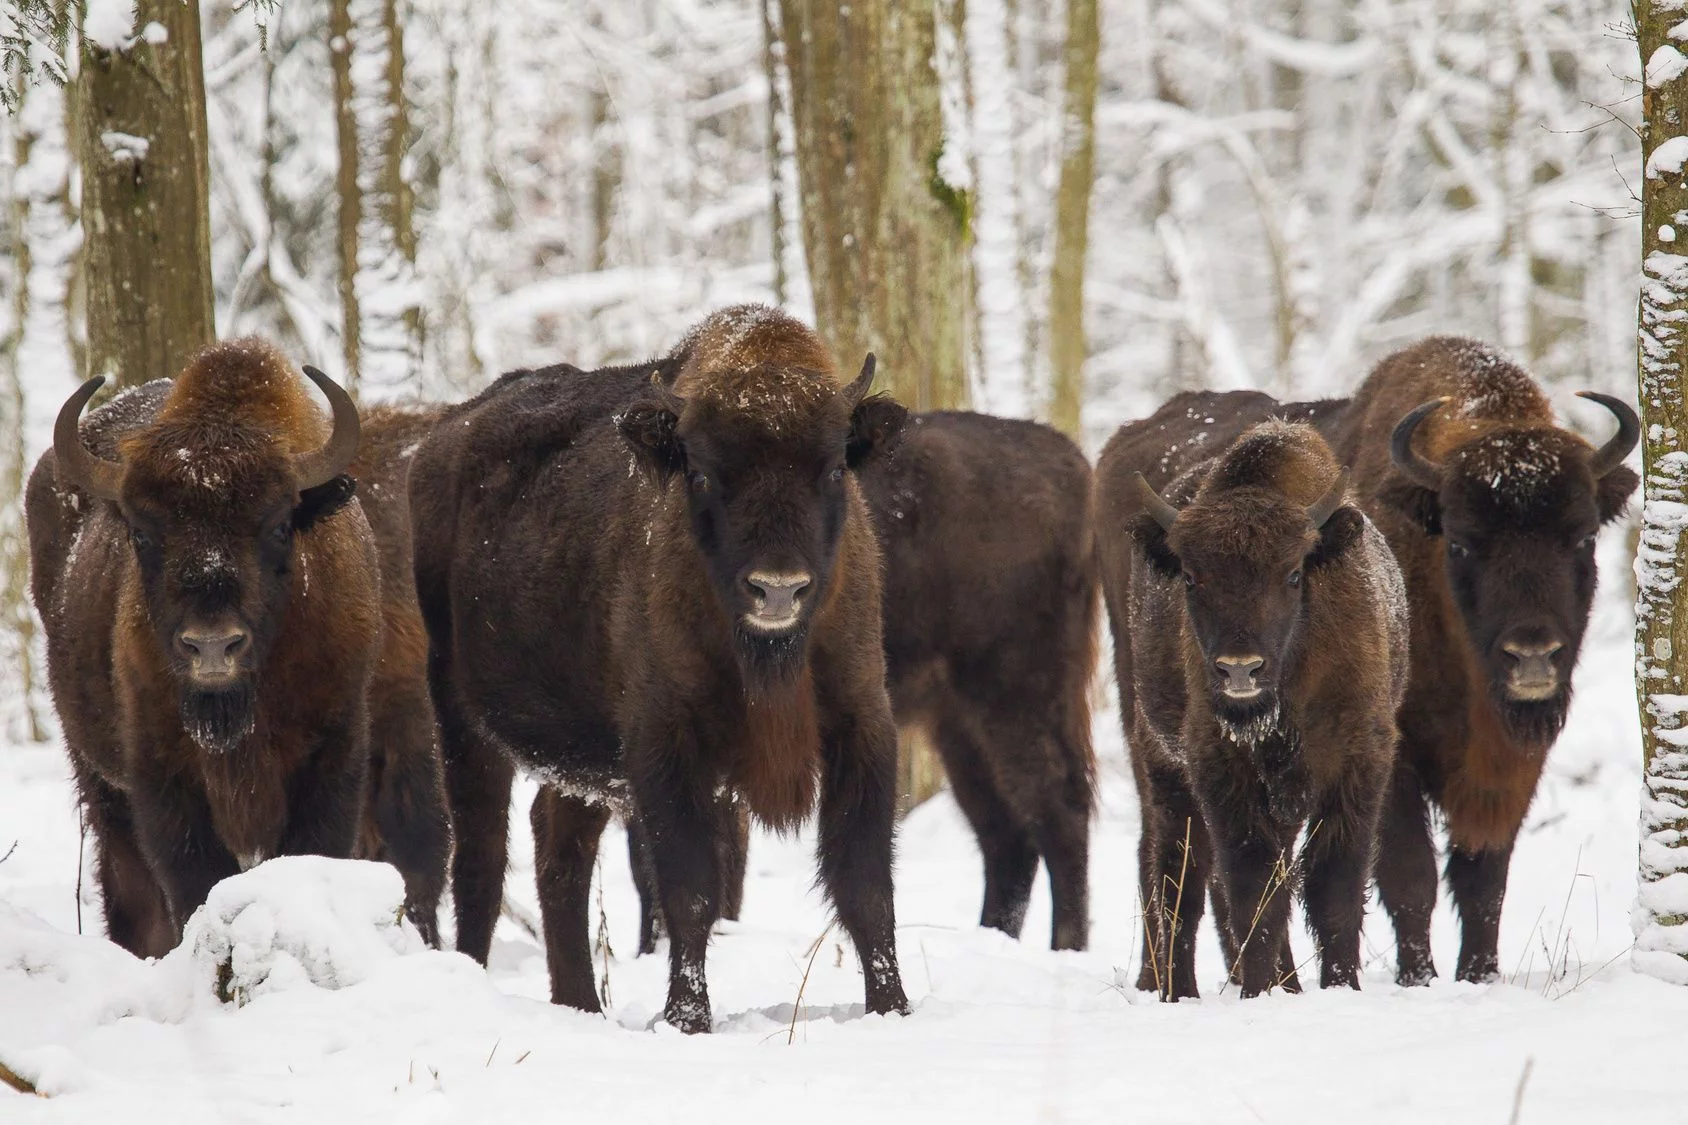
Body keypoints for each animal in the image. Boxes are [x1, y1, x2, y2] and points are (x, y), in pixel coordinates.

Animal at [27, 339, 449, 945]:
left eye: (277, 526)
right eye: (141, 532)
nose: (211, 647)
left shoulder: (334, 757)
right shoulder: (161, 774)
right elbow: (192, 881)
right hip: (98, 775)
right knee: (130, 890)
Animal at [408, 302, 911, 1027]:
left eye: (834, 470)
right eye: (701, 473)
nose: (777, 589)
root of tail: (439, 442)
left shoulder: (861, 723)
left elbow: (866, 885)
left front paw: (892, 1010)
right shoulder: (666, 742)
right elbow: (690, 891)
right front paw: (687, 1019)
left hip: (578, 753)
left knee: (558, 851)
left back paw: (580, 1003)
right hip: (461, 719)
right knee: (481, 860)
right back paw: (474, 982)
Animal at [1093, 413, 1411, 1000]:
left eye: (1292, 574)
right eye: (1191, 576)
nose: (1239, 669)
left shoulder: (1357, 765)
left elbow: (1334, 889)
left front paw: (1340, 988)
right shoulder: (1221, 771)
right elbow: (1251, 891)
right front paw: (1259, 992)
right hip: (1161, 763)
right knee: (1177, 879)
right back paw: (1179, 990)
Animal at [1323, 334, 1640, 979]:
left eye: (1583, 536)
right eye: (1463, 542)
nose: (1532, 655)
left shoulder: (1514, 766)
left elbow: (1482, 880)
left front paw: (1480, 974)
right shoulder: (1393, 761)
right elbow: (1411, 877)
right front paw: (1419, 979)